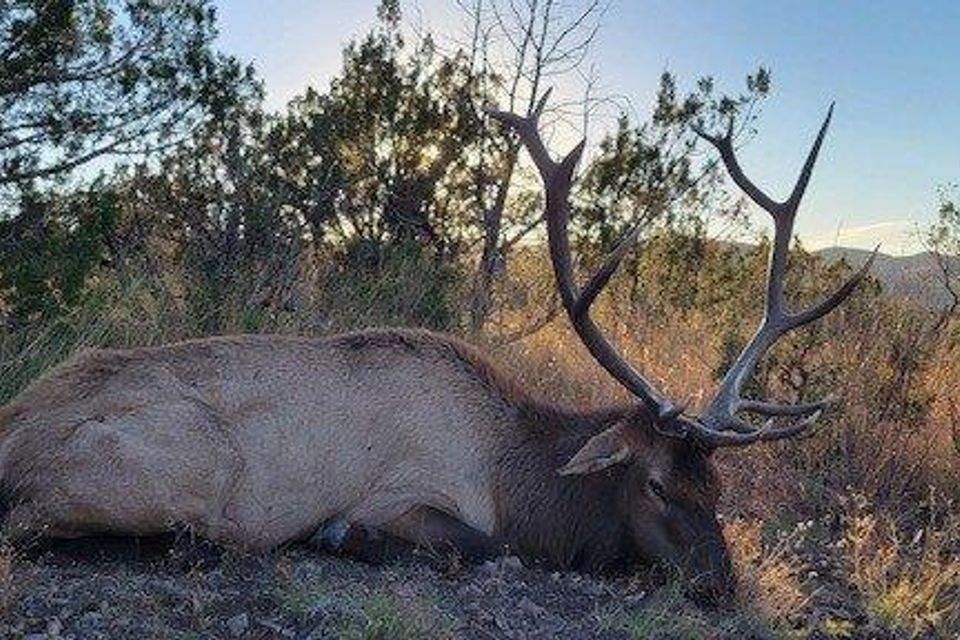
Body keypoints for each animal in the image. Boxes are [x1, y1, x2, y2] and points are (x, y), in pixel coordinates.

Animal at [0, 93, 873, 602]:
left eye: (717, 487)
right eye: (657, 483)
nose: (724, 586)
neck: (516, 472)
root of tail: (12, 430)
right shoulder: (408, 494)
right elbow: (487, 549)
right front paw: (343, 539)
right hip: (191, 467)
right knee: (37, 525)